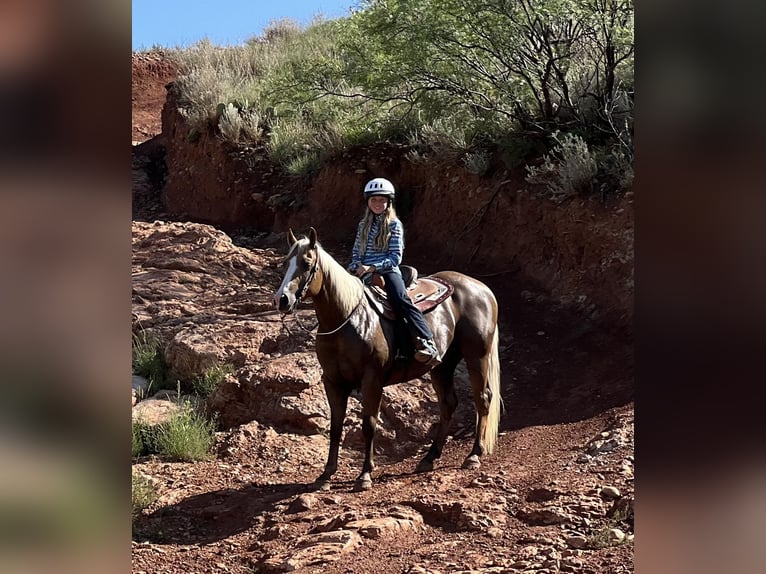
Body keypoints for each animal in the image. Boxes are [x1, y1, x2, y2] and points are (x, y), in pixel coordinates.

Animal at [273, 227, 501, 491]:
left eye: (307, 262)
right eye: (286, 262)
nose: (282, 299)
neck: (347, 318)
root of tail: (481, 287)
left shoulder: (372, 380)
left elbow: (369, 424)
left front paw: (364, 475)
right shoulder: (333, 382)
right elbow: (336, 427)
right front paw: (326, 475)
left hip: (477, 356)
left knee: (483, 399)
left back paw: (474, 455)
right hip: (442, 366)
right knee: (448, 404)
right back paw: (429, 458)